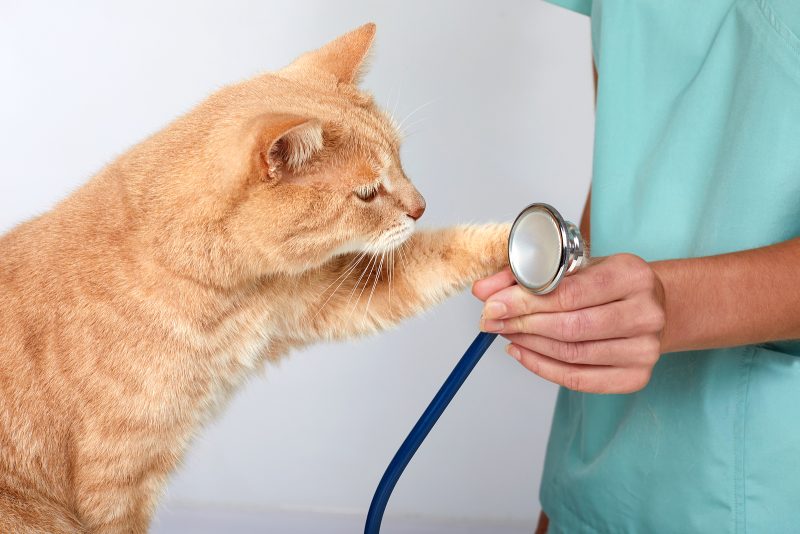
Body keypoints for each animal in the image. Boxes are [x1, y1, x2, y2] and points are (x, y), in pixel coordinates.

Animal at [0, 23, 510, 532]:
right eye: (367, 193)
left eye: (402, 159)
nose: (421, 206)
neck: (224, 295)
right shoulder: (114, 487)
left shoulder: (321, 298)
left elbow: (441, 254)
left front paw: (512, 242)